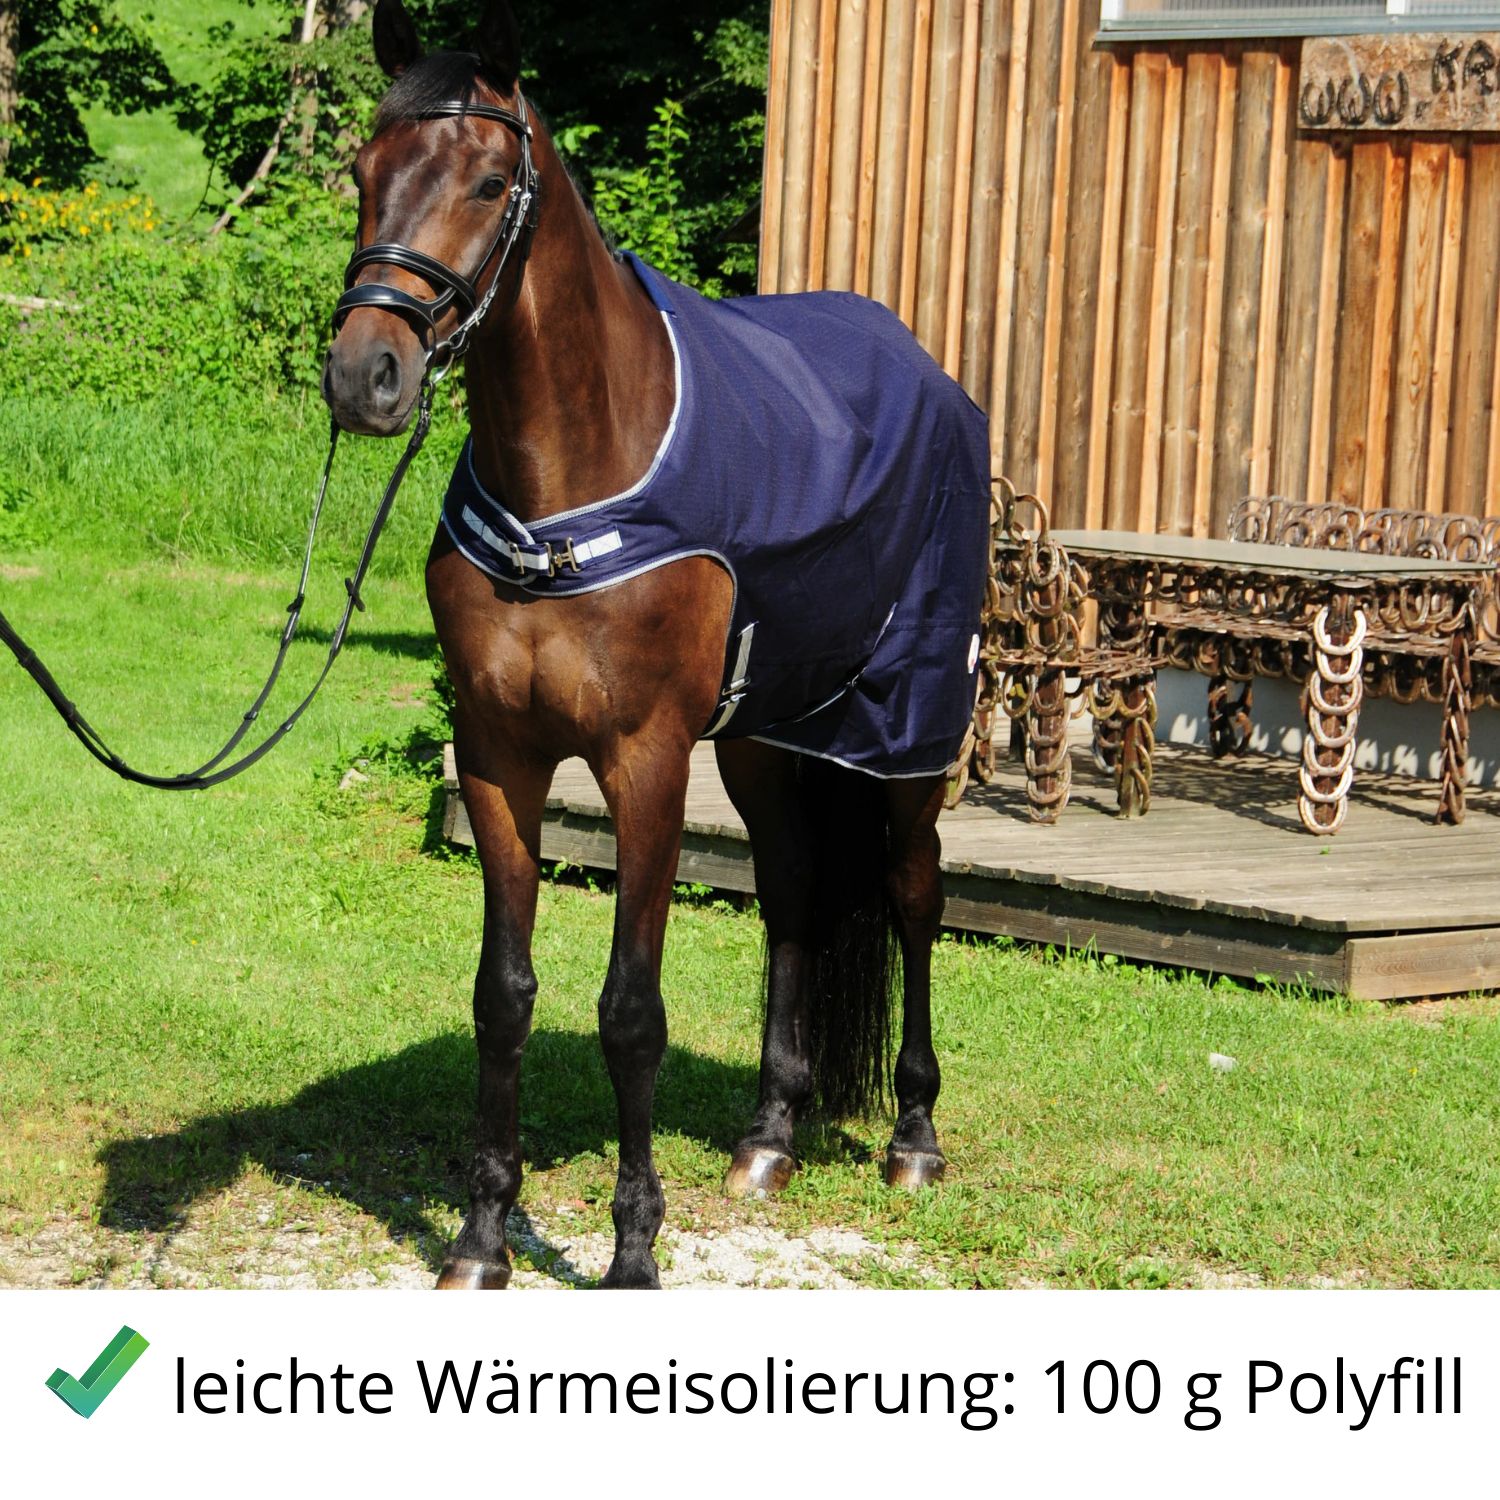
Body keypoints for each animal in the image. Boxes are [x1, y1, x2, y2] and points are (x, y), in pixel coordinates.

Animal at [323, 0, 991, 1290]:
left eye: (489, 181)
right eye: (363, 173)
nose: (364, 376)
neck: (569, 489)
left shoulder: (643, 764)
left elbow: (631, 1010)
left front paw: (633, 1251)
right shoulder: (499, 759)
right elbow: (504, 995)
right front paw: (481, 1240)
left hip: (906, 738)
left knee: (913, 897)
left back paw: (915, 1141)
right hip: (770, 741)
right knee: (793, 899)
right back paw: (769, 1138)